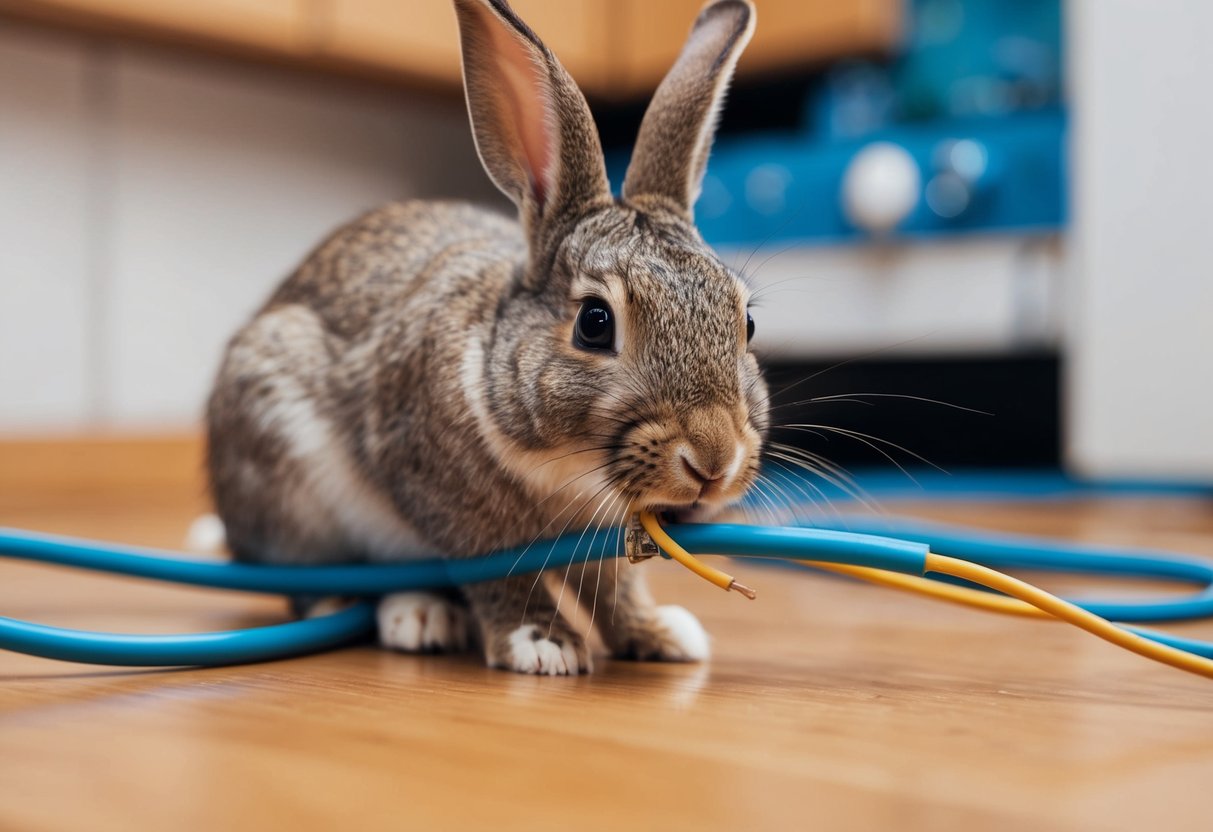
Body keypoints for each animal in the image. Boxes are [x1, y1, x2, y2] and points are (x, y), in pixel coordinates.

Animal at [205, 0, 769, 675]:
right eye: (595, 323)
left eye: (747, 323)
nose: (714, 461)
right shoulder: (453, 503)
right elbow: (501, 574)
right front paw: (544, 646)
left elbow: (614, 585)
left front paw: (661, 635)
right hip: (287, 482)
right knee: (313, 586)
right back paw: (414, 614)